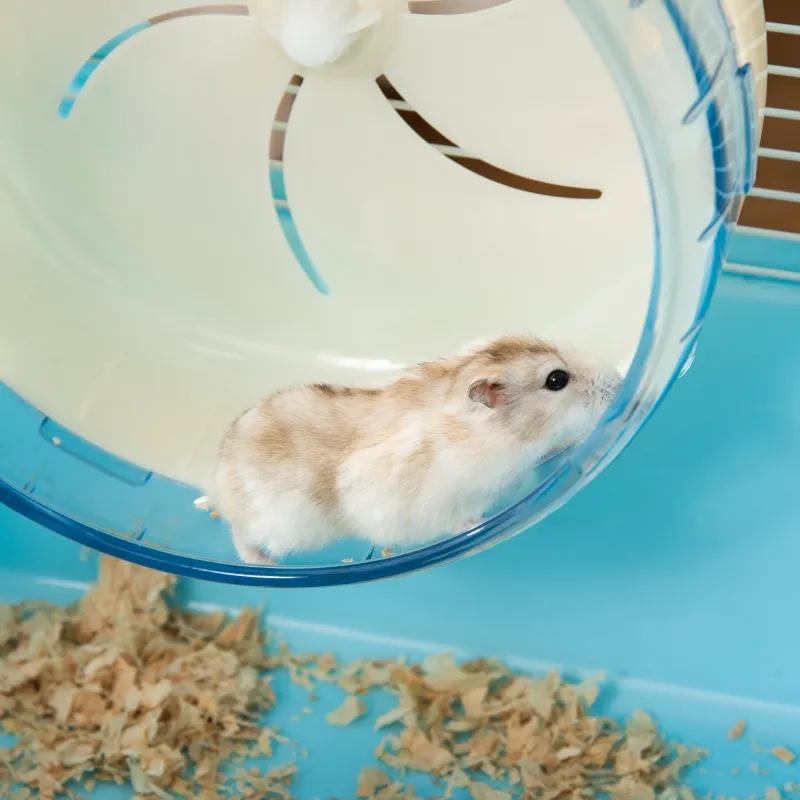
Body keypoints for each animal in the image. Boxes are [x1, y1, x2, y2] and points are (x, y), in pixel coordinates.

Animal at [209, 334, 622, 564]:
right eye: (556, 380)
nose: (619, 381)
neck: (502, 437)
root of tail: (220, 474)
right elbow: (458, 518)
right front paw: (476, 527)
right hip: (278, 525)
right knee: (239, 533)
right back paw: (264, 563)